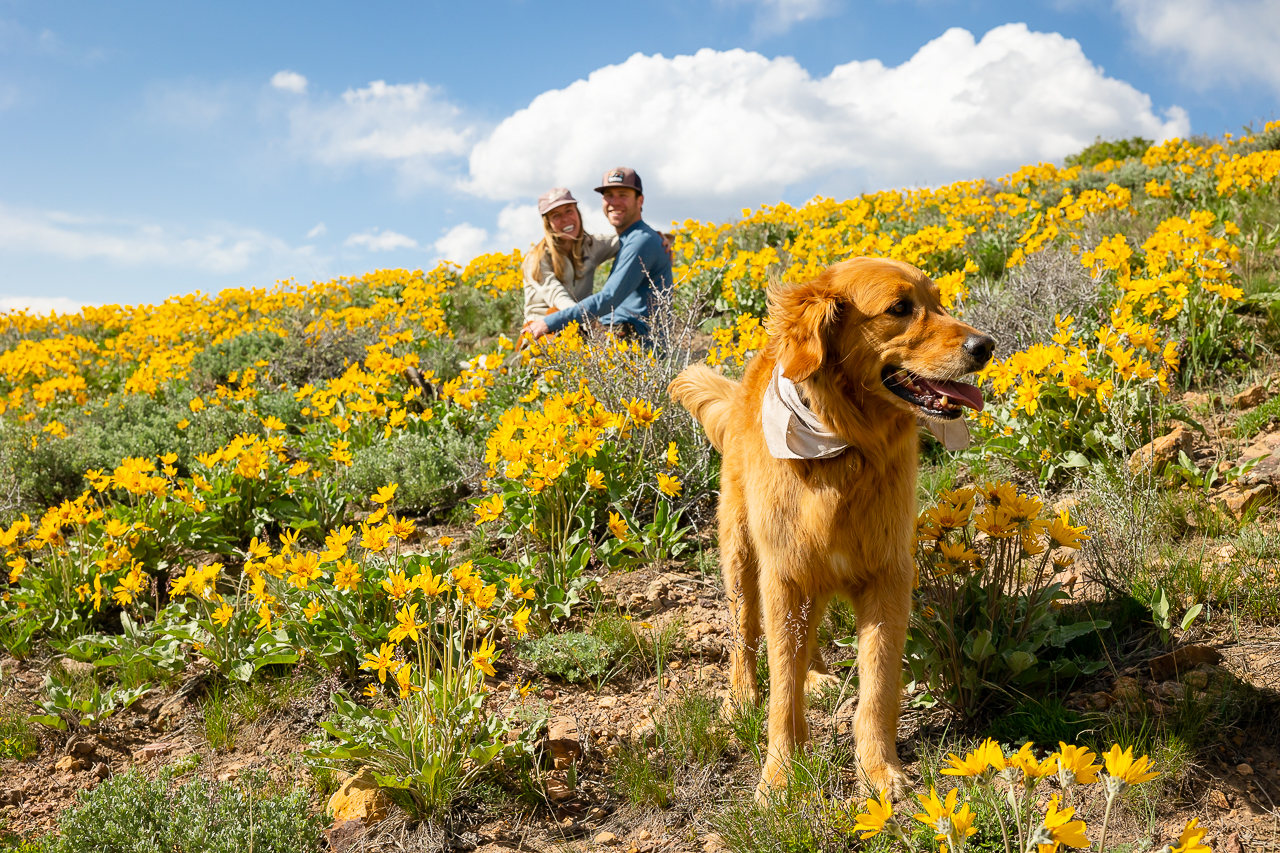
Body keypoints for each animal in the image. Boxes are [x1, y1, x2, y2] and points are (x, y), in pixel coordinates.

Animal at [665, 257, 993, 799]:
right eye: (899, 308)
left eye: (940, 302)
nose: (985, 345)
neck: (843, 448)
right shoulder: (784, 573)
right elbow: (781, 691)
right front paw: (779, 775)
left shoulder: (886, 576)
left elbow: (877, 688)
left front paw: (878, 770)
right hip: (742, 555)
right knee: (747, 635)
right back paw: (741, 696)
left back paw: (817, 677)